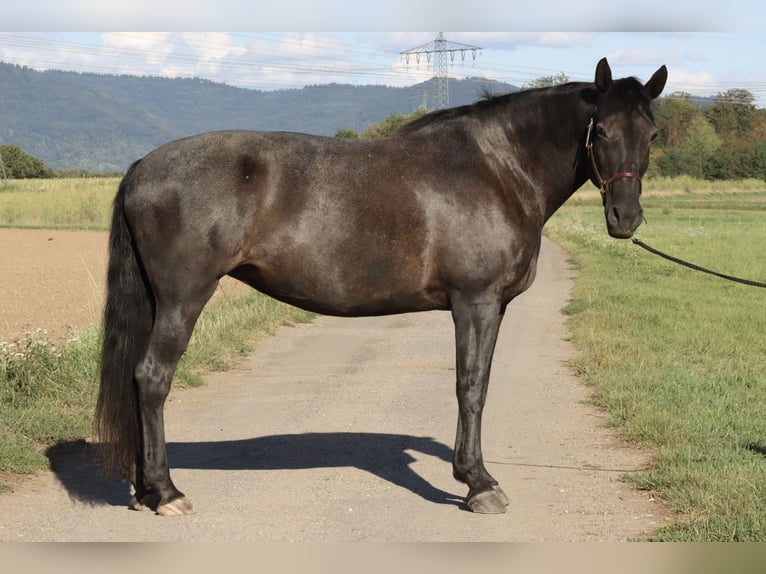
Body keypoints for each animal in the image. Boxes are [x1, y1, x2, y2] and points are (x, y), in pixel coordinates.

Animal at [94, 58, 667, 516]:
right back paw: (168, 493)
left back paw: (145, 490)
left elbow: (479, 385)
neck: (498, 169)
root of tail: (143, 166)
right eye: (600, 131)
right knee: (152, 378)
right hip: (183, 299)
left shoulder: (494, 307)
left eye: (652, 133)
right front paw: (478, 484)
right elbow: (470, 387)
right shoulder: (475, 302)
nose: (626, 218)